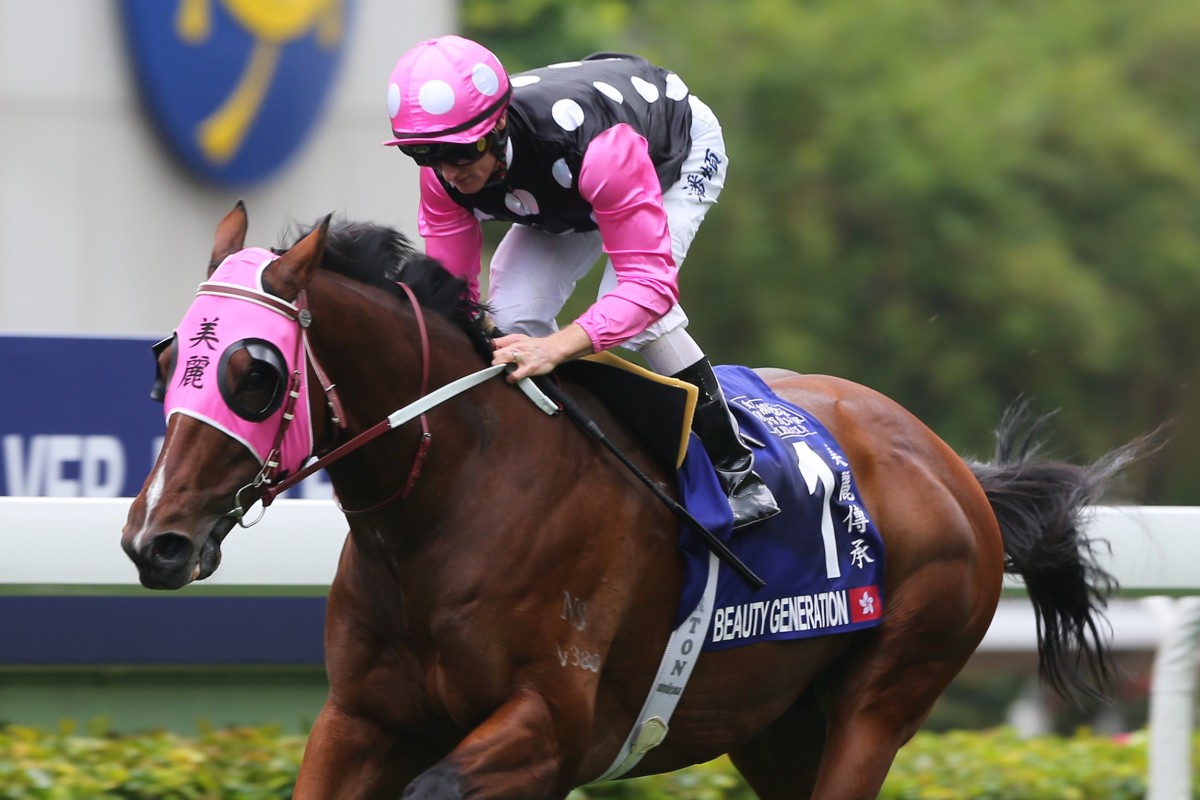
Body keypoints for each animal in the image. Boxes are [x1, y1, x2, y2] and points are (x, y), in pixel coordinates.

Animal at [121, 203, 1142, 796]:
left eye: (255, 373)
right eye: (169, 360)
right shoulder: (362, 719)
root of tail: (952, 469)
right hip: (777, 726)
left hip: (885, 696)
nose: (154, 541)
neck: (453, 503)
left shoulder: (553, 728)